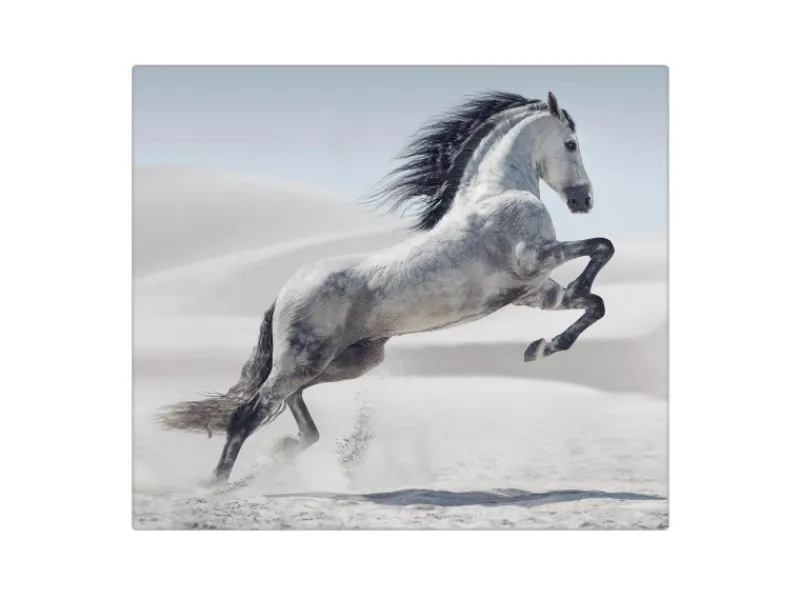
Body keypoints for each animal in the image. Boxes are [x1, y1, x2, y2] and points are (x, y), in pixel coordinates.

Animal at [157, 91, 615, 484]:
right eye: (571, 143)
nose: (585, 201)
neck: (497, 194)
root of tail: (285, 291)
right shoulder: (533, 259)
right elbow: (602, 247)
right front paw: (550, 332)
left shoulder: (535, 293)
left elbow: (594, 303)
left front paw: (540, 347)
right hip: (306, 359)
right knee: (250, 412)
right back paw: (216, 483)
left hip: (347, 361)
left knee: (290, 404)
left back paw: (282, 451)